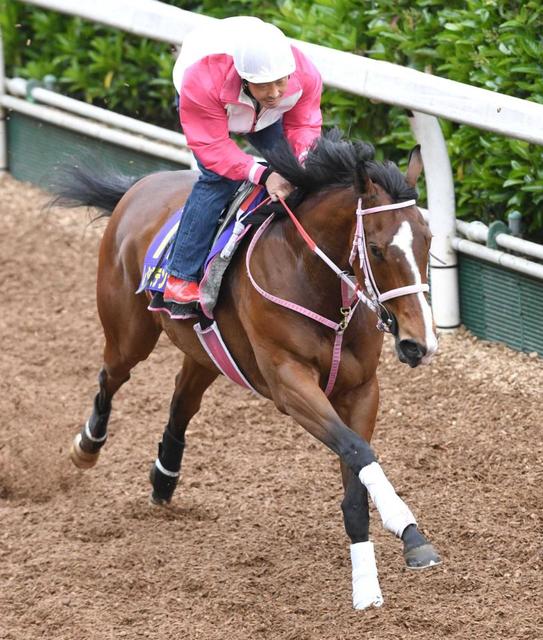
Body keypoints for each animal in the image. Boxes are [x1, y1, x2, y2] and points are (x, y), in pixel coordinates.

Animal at [56, 131, 442, 608]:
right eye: (376, 248)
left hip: (206, 352)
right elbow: (358, 451)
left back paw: (164, 477)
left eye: (428, 239)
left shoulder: (361, 389)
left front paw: (383, 565)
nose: (419, 343)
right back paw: (87, 445)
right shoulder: (289, 384)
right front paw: (398, 534)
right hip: (130, 335)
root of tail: (141, 186)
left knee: (182, 400)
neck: (312, 278)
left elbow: (356, 469)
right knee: (110, 377)